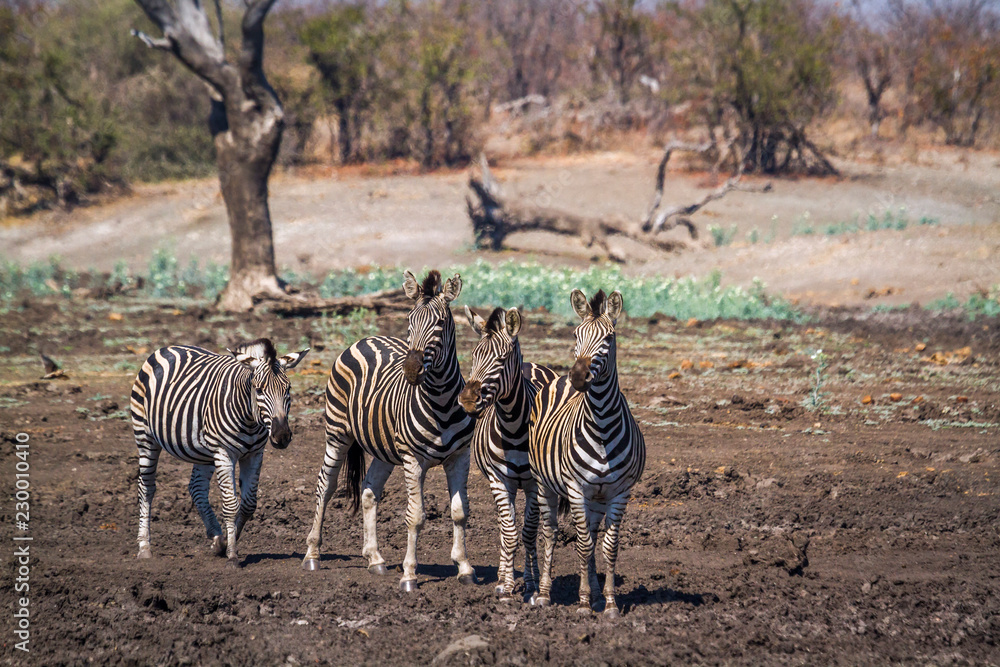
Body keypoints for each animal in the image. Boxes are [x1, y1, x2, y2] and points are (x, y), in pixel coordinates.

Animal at [130, 338, 309, 567]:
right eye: (259, 390)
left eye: (288, 389)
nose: (282, 436)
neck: (250, 418)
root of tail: (166, 348)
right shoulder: (224, 453)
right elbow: (231, 504)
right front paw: (232, 554)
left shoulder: (255, 455)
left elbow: (248, 504)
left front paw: (224, 543)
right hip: (145, 435)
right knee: (146, 488)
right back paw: (144, 547)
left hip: (203, 451)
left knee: (196, 488)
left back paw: (215, 537)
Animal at [301, 270, 477, 592]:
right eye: (409, 319)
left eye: (440, 323)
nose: (411, 370)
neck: (442, 402)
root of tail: (366, 338)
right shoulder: (413, 459)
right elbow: (415, 516)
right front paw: (409, 575)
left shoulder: (460, 456)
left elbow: (460, 511)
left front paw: (464, 568)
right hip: (337, 433)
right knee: (326, 486)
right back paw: (312, 554)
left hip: (383, 447)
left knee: (370, 490)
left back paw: (375, 559)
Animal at [458, 306, 558, 601]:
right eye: (473, 355)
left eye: (501, 359)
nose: (467, 401)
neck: (513, 427)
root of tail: (532, 364)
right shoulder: (498, 479)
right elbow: (510, 533)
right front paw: (505, 586)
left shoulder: (535, 484)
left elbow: (528, 533)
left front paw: (532, 585)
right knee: (506, 527)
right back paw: (505, 576)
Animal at [528, 289, 645, 618]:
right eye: (575, 334)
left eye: (609, 337)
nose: (579, 378)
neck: (602, 423)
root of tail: (558, 380)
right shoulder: (576, 488)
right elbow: (581, 545)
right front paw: (582, 604)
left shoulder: (619, 492)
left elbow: (607, 547)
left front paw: (609, 603)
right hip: (543, 484)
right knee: (551, 532)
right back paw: (544, 593)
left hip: (597, 497)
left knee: (592, 537)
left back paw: (594, 592)